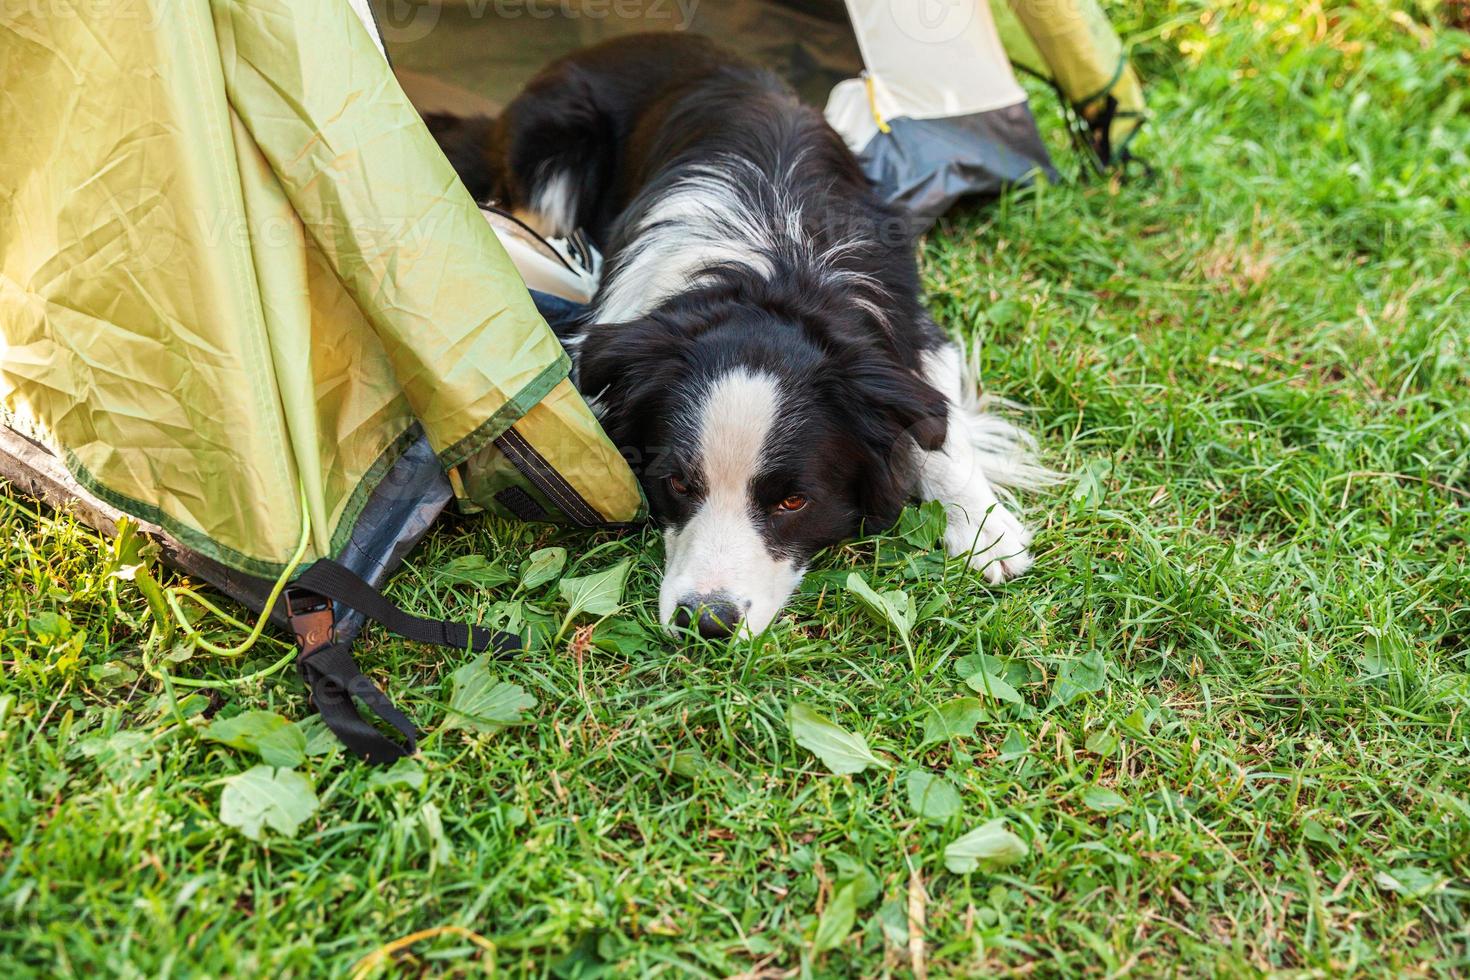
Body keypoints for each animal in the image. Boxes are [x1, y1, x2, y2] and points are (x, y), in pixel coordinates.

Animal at [452, 32, 1052, 637]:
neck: (774, 275)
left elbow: (939, 423)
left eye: (793, 502)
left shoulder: (911, 333)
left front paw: (987, 531)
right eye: (676, 484)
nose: (707, 622)